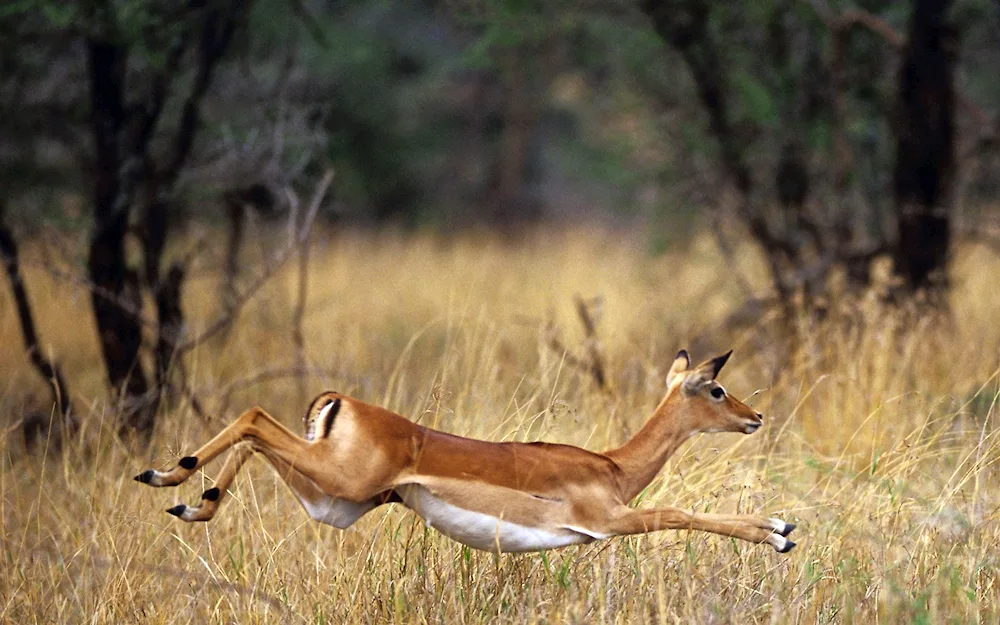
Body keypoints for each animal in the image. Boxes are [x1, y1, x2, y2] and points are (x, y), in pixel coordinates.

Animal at [139, 352, 796, 552]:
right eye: (716, 389)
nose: (755, 417)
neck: (611, 465)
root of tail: (338, 401)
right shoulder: (608, 521)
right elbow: (681, 512)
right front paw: (778, 530)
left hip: (336, 502)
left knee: (254, 433)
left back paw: (189, 499)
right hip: (342, 483)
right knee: (252, 415)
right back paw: (166, 475)